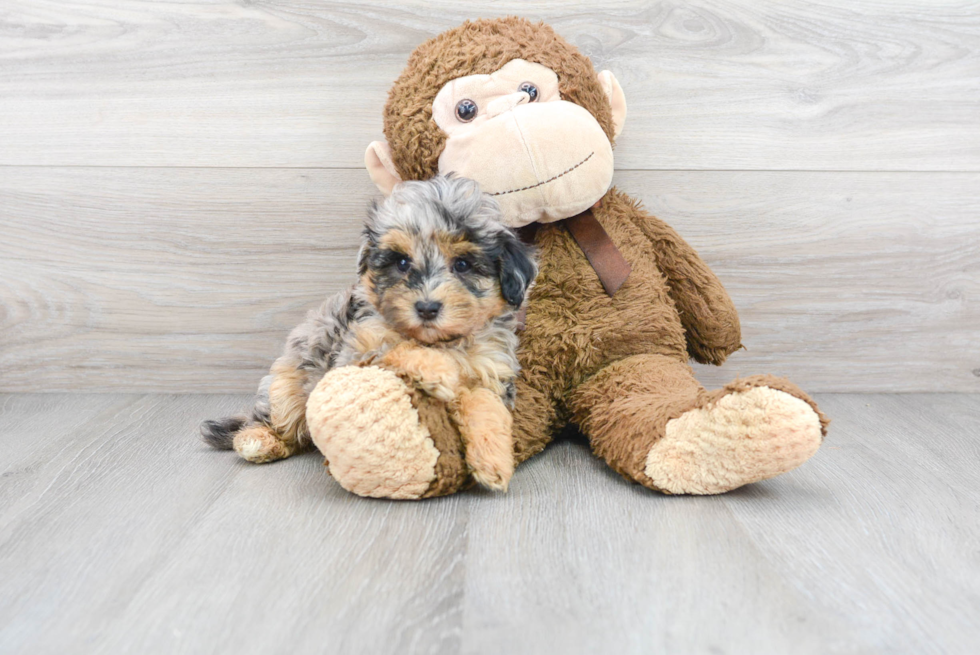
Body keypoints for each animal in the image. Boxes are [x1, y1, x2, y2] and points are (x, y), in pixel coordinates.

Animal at [199, 174, 536, 492]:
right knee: (275, 420)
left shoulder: (490, 373)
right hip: (287, 386)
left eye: (463, 265)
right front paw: (438, 370)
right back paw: (259, 441)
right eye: (402, 262)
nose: (427, 308)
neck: (445, 341)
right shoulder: (357, 349)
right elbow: (398, 346)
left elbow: (486, 409)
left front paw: (494, 463)